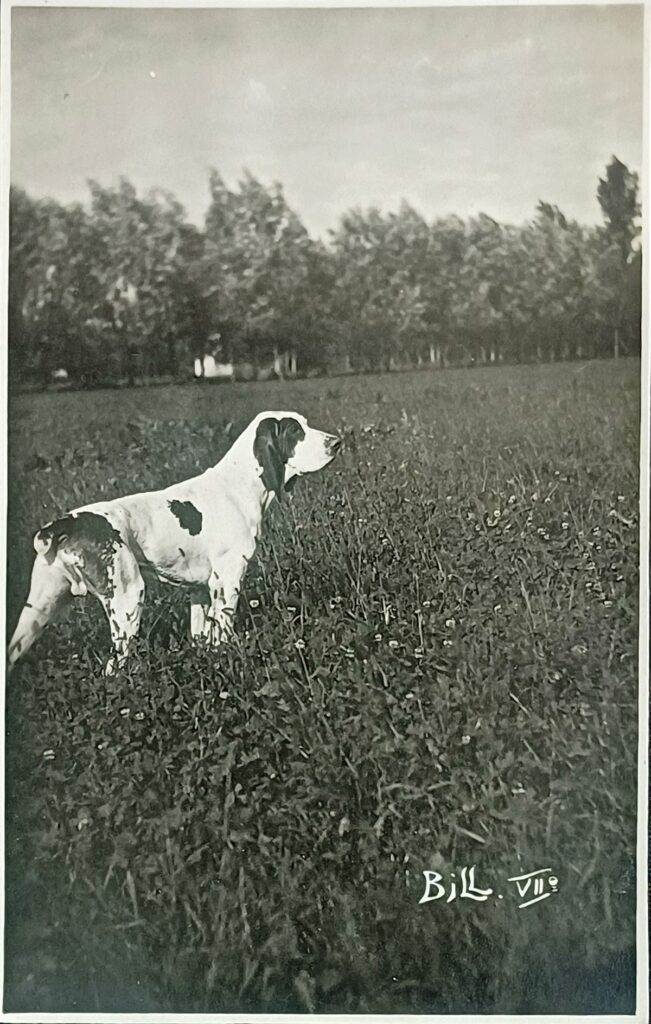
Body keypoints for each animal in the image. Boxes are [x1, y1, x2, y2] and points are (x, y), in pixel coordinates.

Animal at [8, 411, 341, 674]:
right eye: (295, 430)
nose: (336, 442)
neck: (238, 485)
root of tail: (64, 523)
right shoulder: (228, 578)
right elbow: (224, 633)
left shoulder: (201, 589)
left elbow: (204, 637)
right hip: (128, 596)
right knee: (114, 667)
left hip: (38, 611)